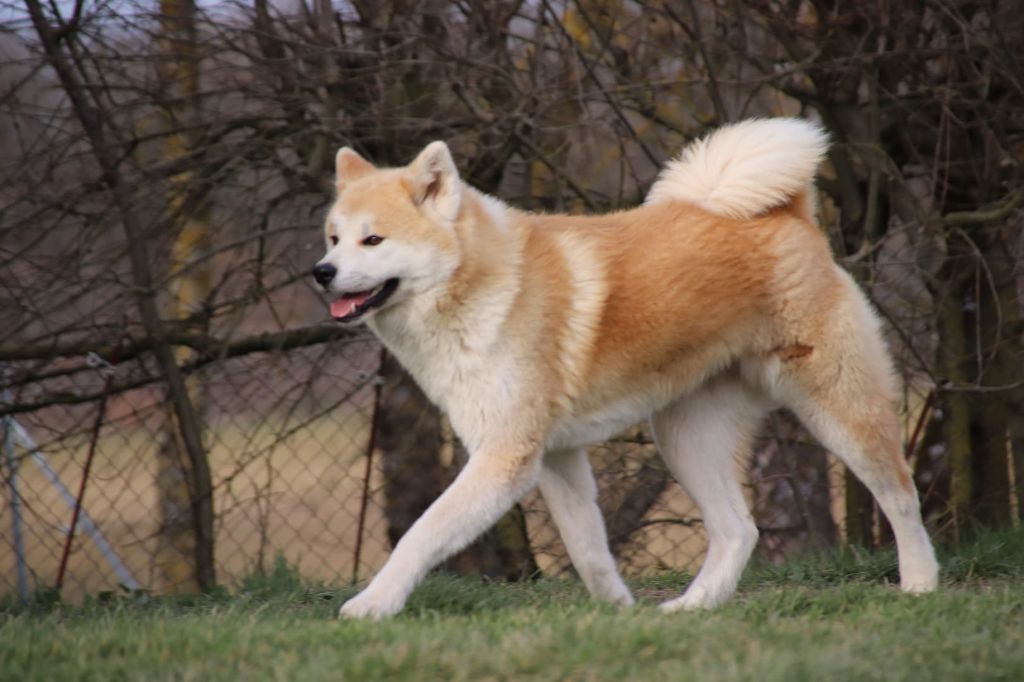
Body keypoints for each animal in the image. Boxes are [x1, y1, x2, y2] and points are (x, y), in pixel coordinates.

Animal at [309, 116, 937, 614]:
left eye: (372, 240)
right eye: (334, 238)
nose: (321, 272)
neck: (477, 285)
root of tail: (792, 215)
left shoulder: (504, 458)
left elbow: (422, 534)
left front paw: (372, 605)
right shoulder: (556, 457)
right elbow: (588, 549)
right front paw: (618, 612)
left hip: (839, 409)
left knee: (901, 495)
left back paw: (920, 584)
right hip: (686, 436)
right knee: (738, 530)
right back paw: (691, 607)